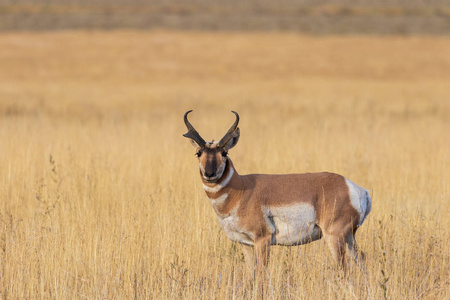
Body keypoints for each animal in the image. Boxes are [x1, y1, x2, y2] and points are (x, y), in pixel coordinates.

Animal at [183, 110, 372, 276]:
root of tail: (355, 188)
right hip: (349, 237)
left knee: (345, 268)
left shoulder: (262, 240)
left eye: (224, 152)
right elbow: (250, 276)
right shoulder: (246, 244)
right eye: (198, 153)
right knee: (361, 259)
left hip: (335, 236)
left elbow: (261, 275)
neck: (241, 189)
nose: (209, 173)